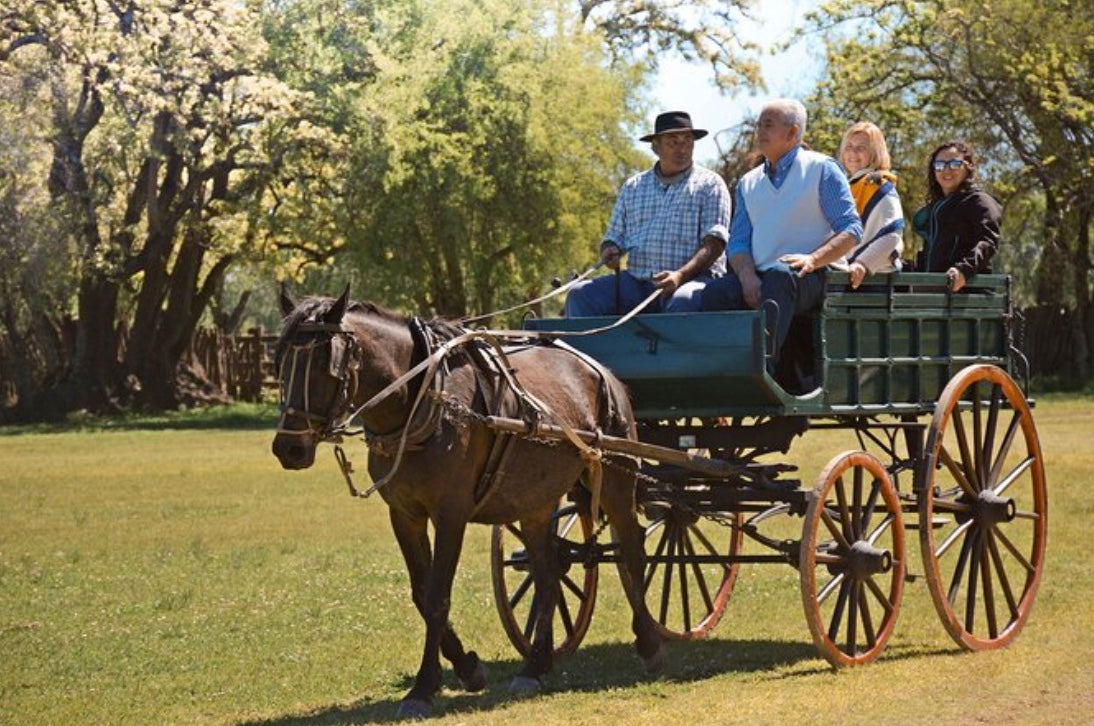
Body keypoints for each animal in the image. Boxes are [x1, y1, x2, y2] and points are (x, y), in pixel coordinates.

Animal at [271, 286, 665, 717]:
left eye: (326, 364)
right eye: (282, 361)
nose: (289, 448)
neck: (425, 399)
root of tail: (602, 371)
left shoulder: (451, 513)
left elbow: (437, 595)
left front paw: (423, 687)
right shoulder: (404, 514)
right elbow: (421, 592)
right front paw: (467, 668)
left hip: (616, 480)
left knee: (632, 551)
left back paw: (649, 643)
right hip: (536, 503)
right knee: (547, 573)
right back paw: (536, 664)